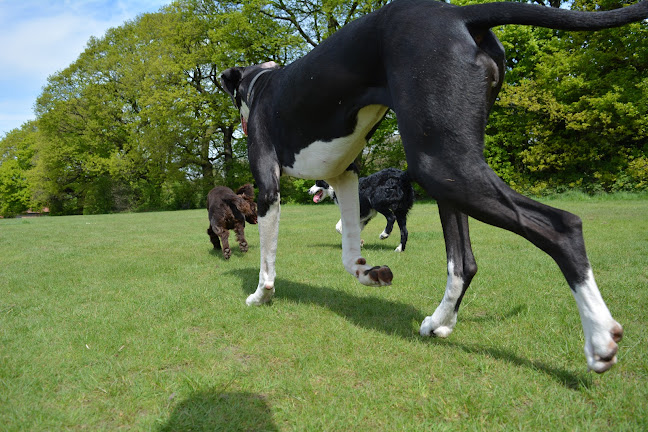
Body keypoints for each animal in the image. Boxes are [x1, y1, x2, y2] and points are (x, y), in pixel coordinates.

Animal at [220, 0, 644, 372]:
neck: (260, 84)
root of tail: (456, 12)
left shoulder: (268, 187)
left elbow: (268, 258)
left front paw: (260, 294)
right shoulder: (347, 176)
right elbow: (349, 247)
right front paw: (367, 273)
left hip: (438, 165)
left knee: (562, 226)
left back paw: (600, 339)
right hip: (449, 169)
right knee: (464, 262)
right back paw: (439, 321)